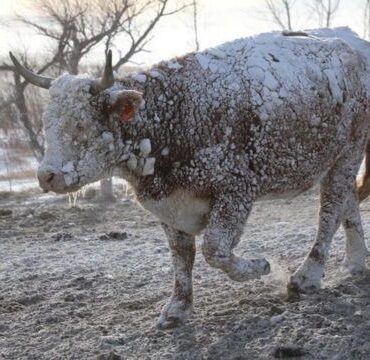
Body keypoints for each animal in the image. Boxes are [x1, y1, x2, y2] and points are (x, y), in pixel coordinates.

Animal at [10, 26, 370, 328]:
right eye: (47, 123)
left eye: (81, 125)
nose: (47, 176)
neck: (169, 116)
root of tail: (351, 44)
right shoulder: (170, 206)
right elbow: (182, 258)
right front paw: (177, 308)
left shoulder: (236, 190)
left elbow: (214, 250)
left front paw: (260, 267)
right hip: (341, 160)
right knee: (348, 204)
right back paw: (355, 263)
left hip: (347, 154)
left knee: (329, 212)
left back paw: (307, 276)